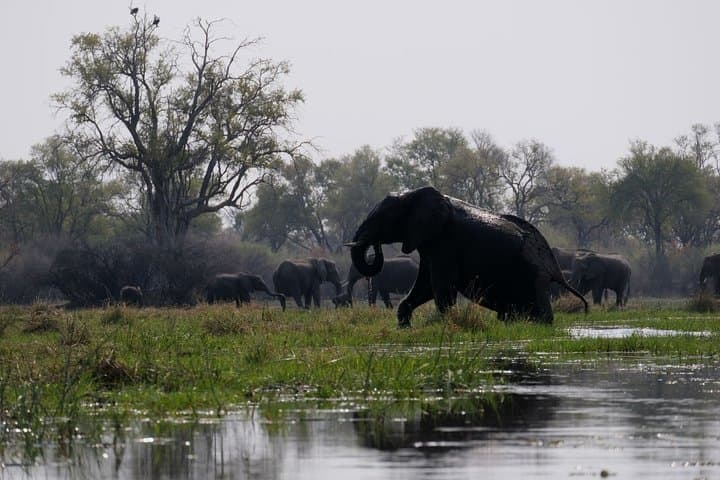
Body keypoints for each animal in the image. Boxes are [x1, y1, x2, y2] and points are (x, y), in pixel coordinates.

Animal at [345, 186, 587, 327]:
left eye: (383, 218)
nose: (374, 245)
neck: (414, 195)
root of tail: (554, 268)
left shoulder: (446, 242)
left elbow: (440, 286)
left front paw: (446, 324)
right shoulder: (429, 245)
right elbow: (425, 286)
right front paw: (404, 326)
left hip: (533, 274)